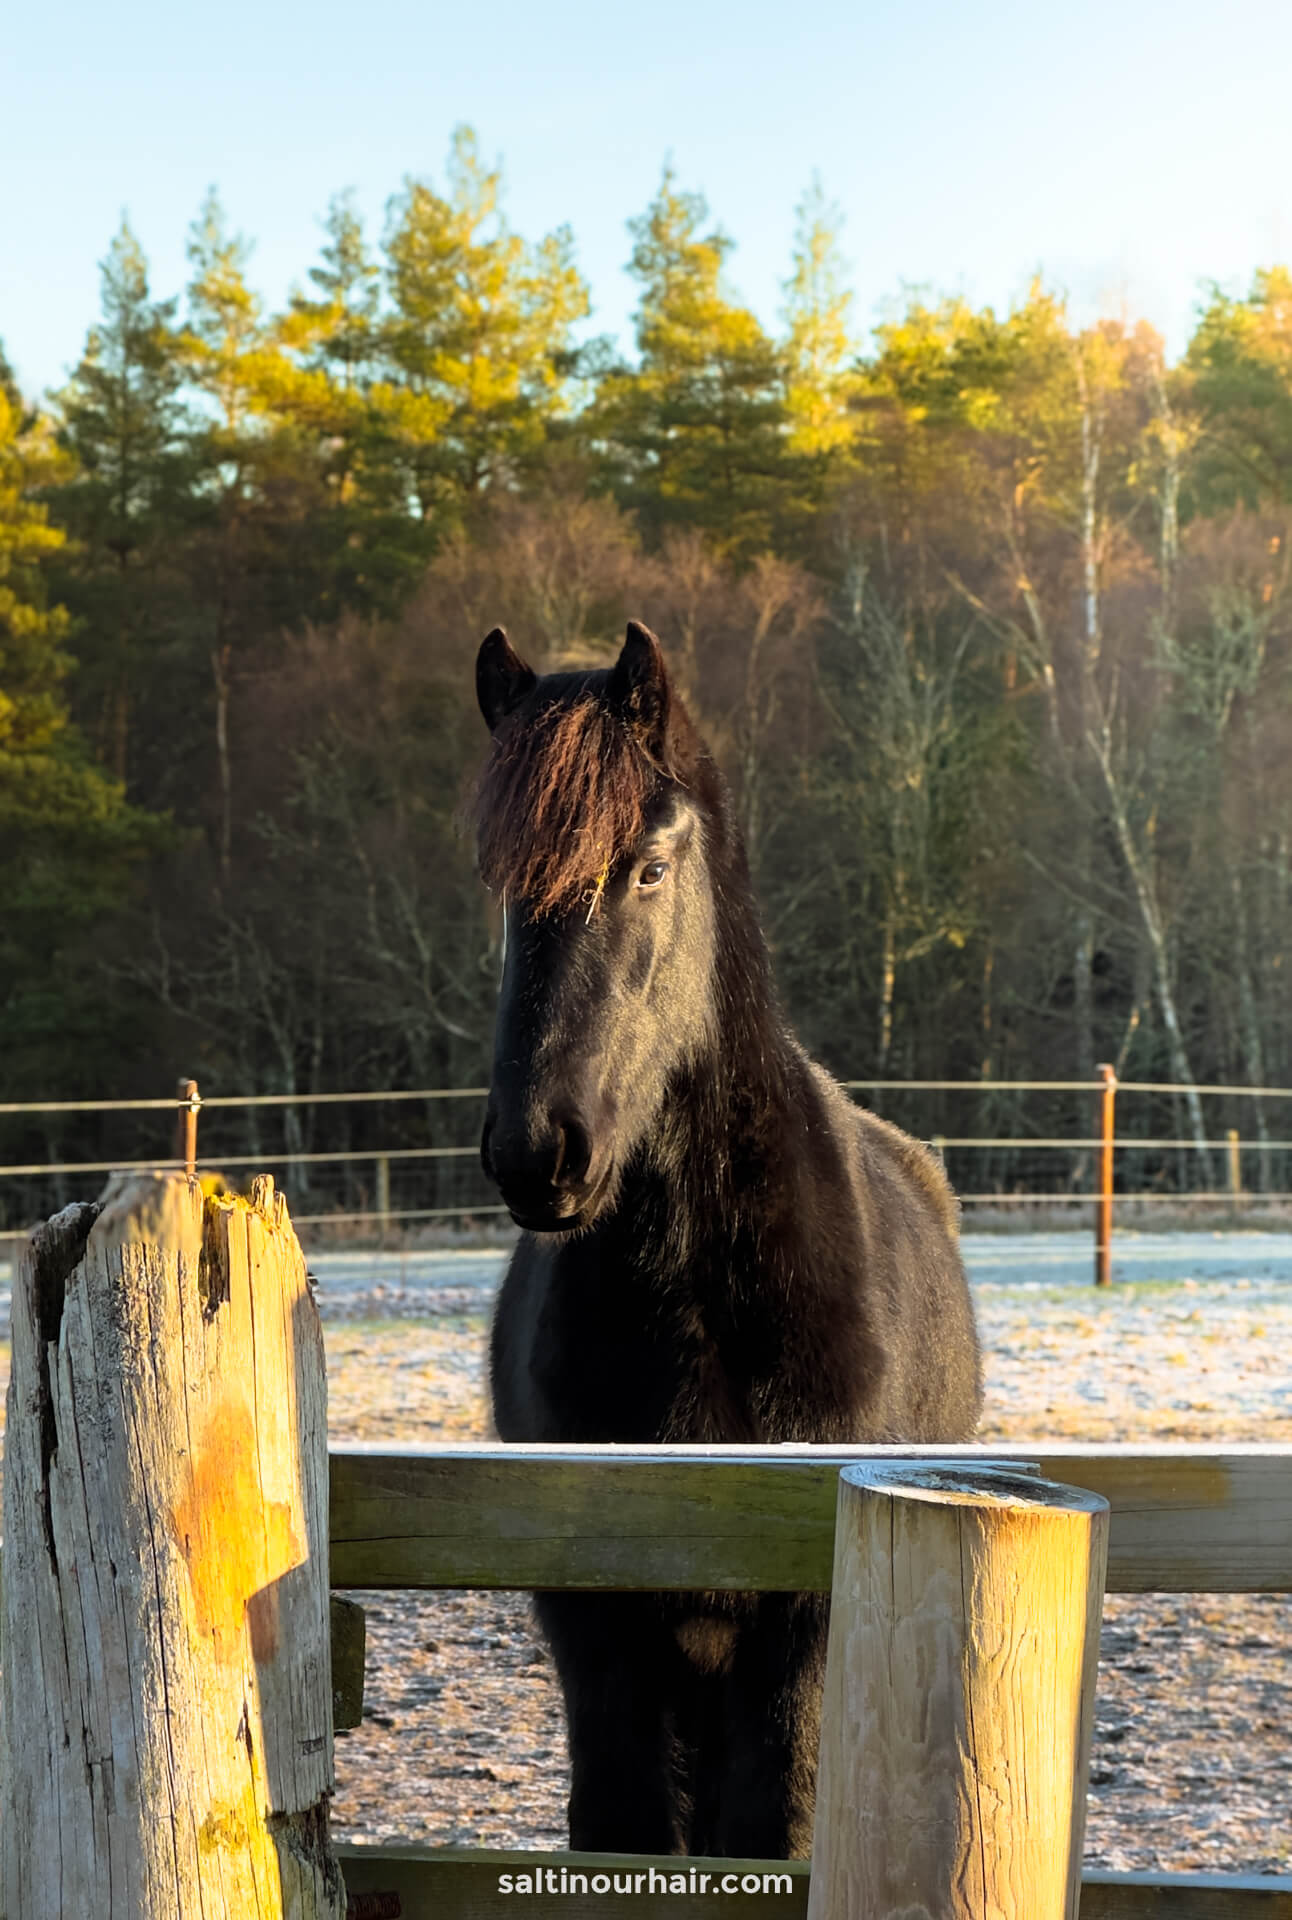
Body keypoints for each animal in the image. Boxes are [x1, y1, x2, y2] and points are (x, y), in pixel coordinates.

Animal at [474, 625, 979, 1858]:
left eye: (649, 869)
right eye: (500, 888)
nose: (536, 1149)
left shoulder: (799, 1623)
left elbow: (774, 1830)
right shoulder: (595, 1628)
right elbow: (620, 1823)